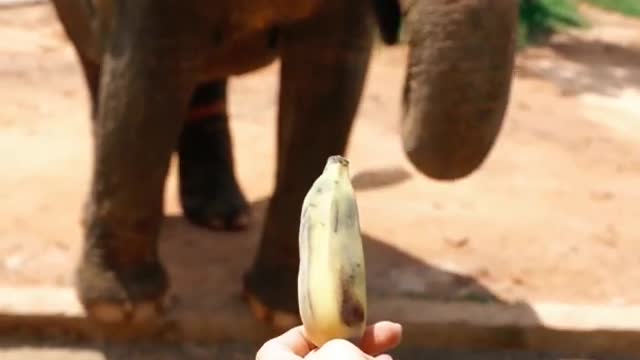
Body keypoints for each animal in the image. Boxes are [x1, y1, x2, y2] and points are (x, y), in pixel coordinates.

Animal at [50, 0, 520, 328]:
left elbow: (328, 76)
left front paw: (280, 314)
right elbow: (145, 73)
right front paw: (126, 310)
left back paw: (224, 216)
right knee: (100, 64)